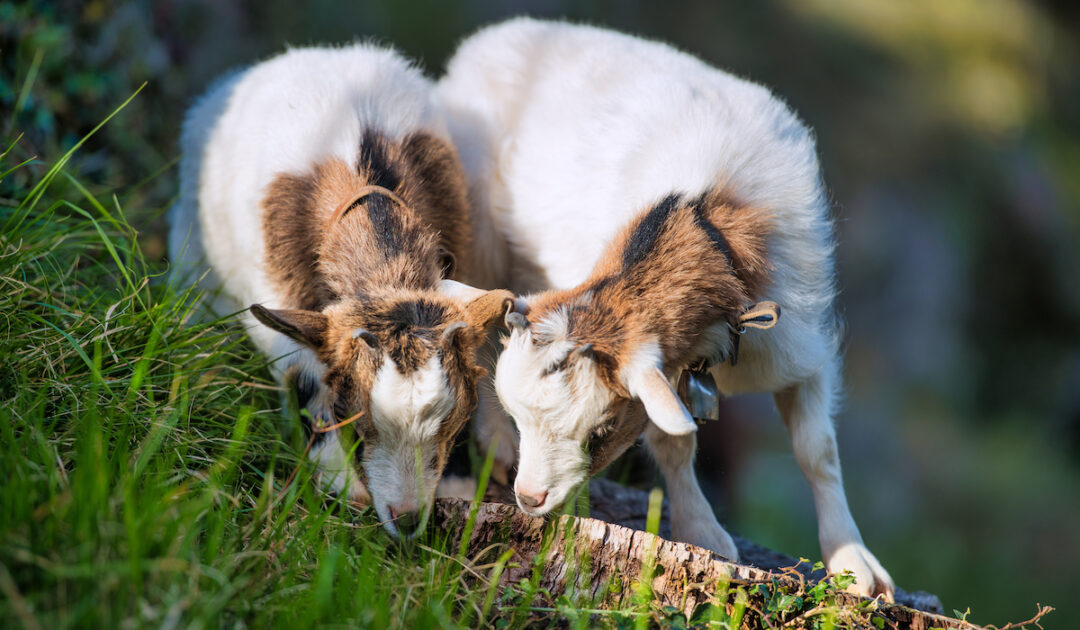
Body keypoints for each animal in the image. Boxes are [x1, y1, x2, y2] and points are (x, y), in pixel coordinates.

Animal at [436, 18, 895, 598]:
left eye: (601, 430)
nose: (529, 500)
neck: (702, 217)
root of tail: (500, 33)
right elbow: (674, 443)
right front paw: (703, 531)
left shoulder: (800, 348)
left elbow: (819, 452)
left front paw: (855, 565)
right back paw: (496, 448)